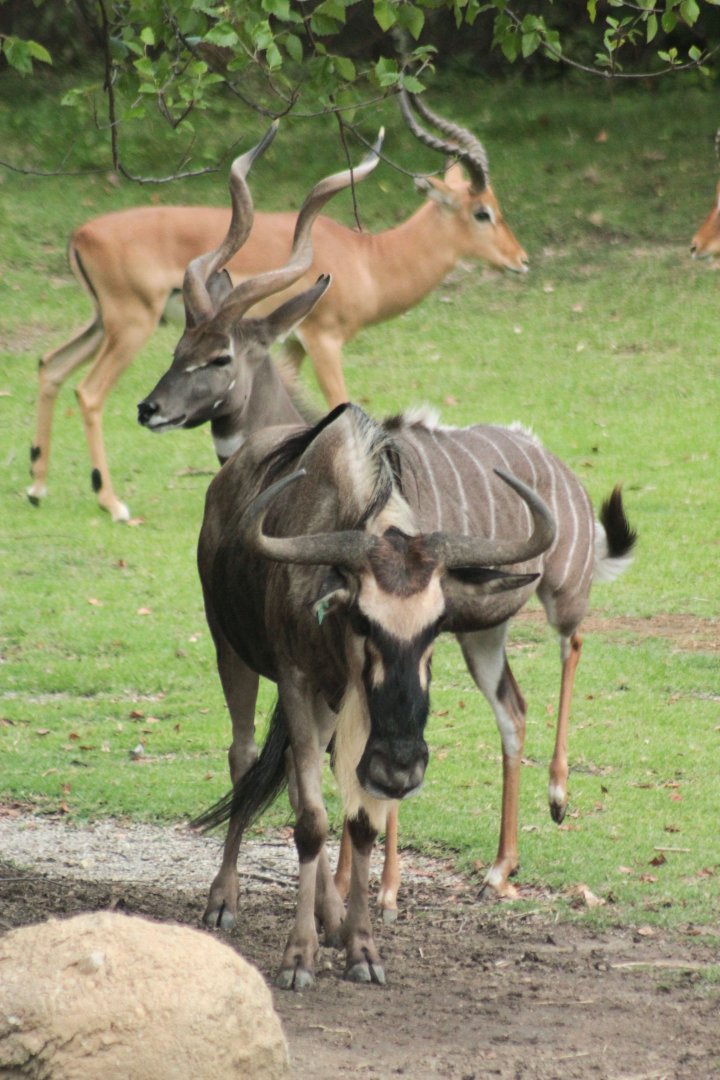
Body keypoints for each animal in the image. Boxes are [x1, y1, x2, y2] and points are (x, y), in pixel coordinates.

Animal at [28, 92, 527, 522]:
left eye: (221, 356)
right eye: (482, 211)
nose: (149, 409)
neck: (368, 258)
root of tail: (82, 234)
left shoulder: (303, 343)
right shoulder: (322, 339)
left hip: (107, 323)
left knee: (52, 365)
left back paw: (43, 488)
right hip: (127, 324)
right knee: (85, 387)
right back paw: (107, 501)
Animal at [138, 129, 637, 987]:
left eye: (220, 357)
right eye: (179, 346)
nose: (150, 407)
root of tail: (558, 470)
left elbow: (359, 813)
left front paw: (364, 924)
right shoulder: (312, 685)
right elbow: (318, 809)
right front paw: (321, 934)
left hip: (543, 603)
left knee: (560, 660)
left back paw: (551, 802)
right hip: (305, 648)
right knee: (263, 757)